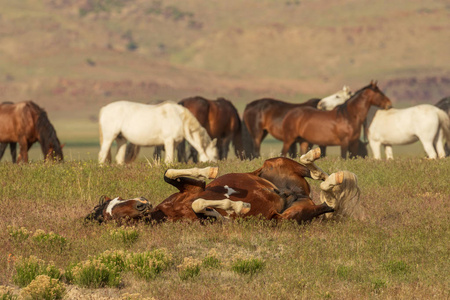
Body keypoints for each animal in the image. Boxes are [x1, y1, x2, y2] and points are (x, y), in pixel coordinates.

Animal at [86, 149, 364, 224]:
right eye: (114, 217)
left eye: (118, 199)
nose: (142, 205)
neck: (168, 212)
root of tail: (295, 195)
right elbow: (203, 205)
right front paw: (239, 206)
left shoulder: (193, 189)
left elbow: (169, 174)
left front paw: (210, 170)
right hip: (287, 217)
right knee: (327, 204)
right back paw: (333, 183)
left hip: (273, 164)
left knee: (310, 169)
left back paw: (322, 166)